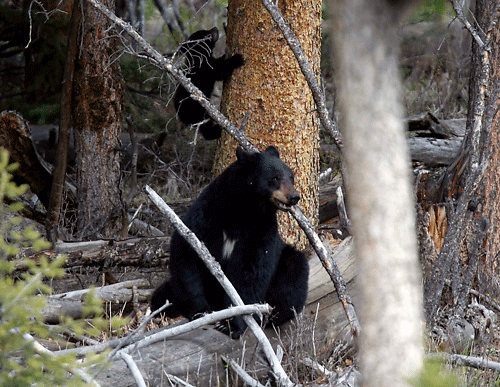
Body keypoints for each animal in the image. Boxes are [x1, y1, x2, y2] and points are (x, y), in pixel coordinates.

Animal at [150, 146, 310, 340]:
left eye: (291, 177)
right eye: (275, 178)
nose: (294, 196)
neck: (241, 211)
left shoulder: (261, 230)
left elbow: (250, 272)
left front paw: (231, 324)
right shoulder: (207, 216)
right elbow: (187, 254)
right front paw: (201, 312)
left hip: (287, 264)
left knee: (294, 273)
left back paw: (269, 315)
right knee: (161, 296)